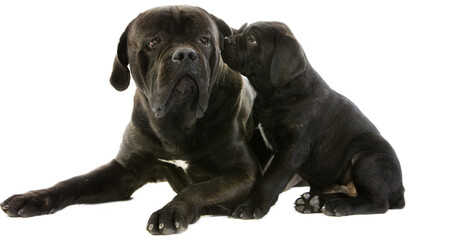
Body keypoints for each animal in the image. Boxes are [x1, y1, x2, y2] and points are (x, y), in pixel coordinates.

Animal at [1, 6, 262, 235]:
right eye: (153, 42)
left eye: (204, 40)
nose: (186, 54)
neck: (177, 120)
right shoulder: (126, 169)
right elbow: (76, 182)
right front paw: (33, 197)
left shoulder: (243, 174)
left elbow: (198, 189)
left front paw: (170, 212)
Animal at [223, 21, 404, 218]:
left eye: (252, 39)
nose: (226, 40)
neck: (276, 94)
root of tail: (400, 191)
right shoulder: (262, 140)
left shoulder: (292, 150)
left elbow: (270, 180)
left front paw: (252, 207)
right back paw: (314, 202)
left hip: (367, 158)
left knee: (377, 202)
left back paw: (339, 206)